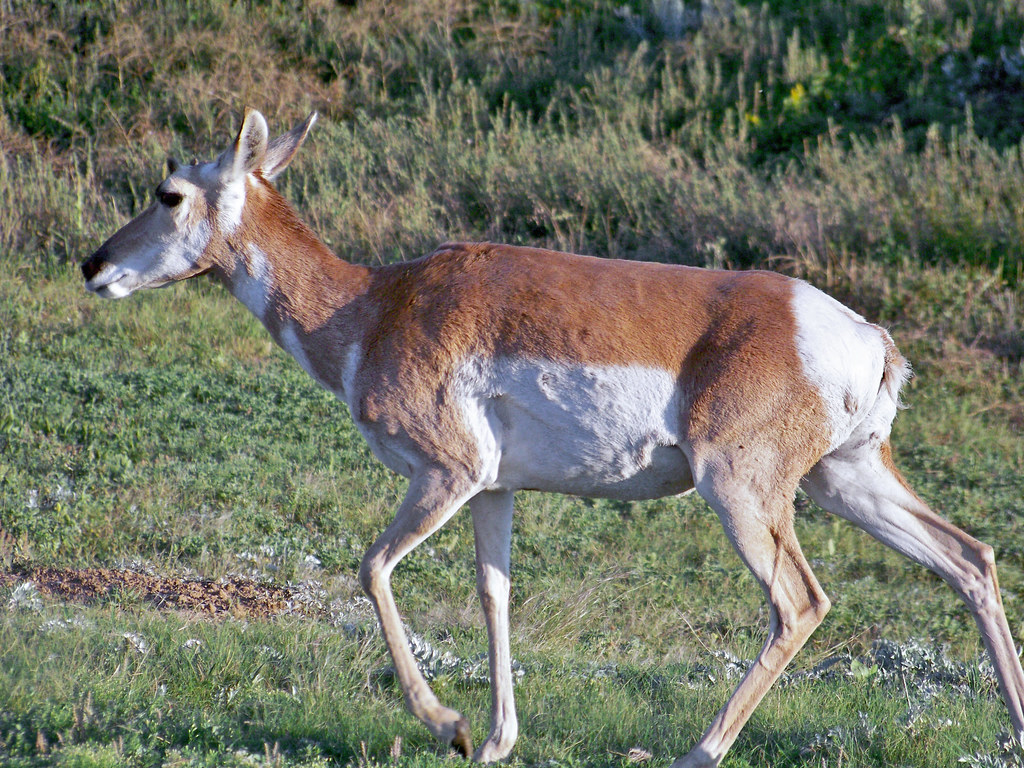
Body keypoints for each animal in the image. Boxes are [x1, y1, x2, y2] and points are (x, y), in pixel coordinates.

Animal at [82, 109, 1024, 767]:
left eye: (169, 192)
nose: (92, 266)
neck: (373, 304)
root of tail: (865, 335)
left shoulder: (446, 473)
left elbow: (372, 566)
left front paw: (451, 726)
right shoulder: (492, 489)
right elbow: (494, 593)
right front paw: (496, 739)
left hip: (743, 490)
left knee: (801, 601)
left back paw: (697, 749)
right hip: (846, 479)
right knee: (969, 558)